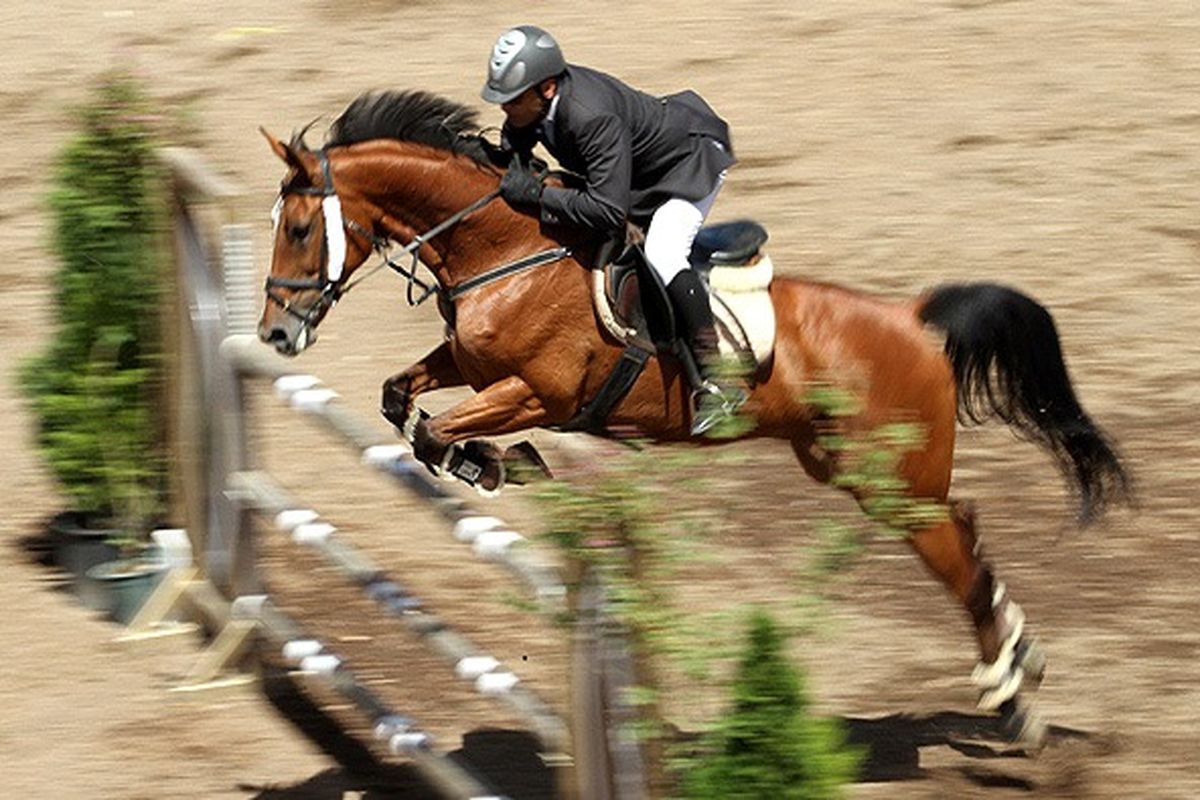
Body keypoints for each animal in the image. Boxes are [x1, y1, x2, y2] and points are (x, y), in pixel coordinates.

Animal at [258, 90, 1128, 743]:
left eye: (300, 229)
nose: (275, 335)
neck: (502, 250)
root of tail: (911, 319)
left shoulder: (542, 393)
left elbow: (440, 427)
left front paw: (496, 464)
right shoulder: (469, 366)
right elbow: (399, 399)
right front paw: (487, 463)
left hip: (887, 481)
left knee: (953, 553)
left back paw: (1009, 693)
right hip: (851, 468)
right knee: (965, 529)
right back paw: (1019, 662)